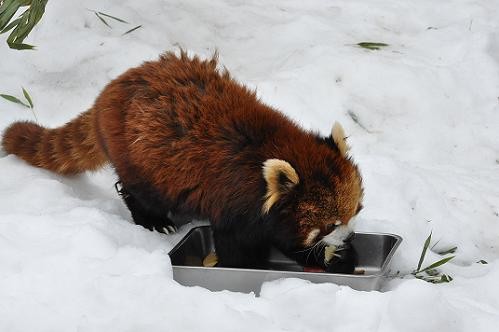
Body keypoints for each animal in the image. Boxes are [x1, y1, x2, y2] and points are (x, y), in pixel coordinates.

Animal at [0, 52, 364, 270]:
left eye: (355, 211)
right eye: (329, 224)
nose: (347, 238)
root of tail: (108, 92)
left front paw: (338, 258)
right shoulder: (233, 202)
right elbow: (239, 246)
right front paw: (247, 267)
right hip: (138, 161)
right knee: (138, 191)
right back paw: (154, 220)